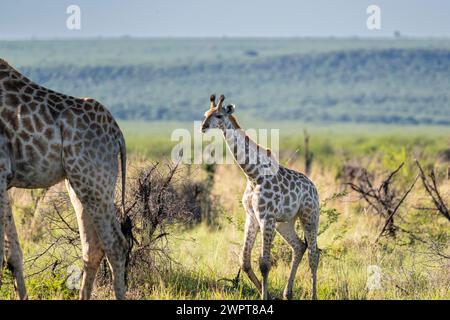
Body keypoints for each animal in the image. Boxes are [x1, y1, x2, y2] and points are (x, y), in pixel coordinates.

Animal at [0, 58, 130, 300]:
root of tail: (118, 135)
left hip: (94, 183)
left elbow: (9, 252)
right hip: (77, 183)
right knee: (92, 246)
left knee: (116, 244)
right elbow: (12, 252)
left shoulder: (1, 172)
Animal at [200, 95, 320, 300]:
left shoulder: (266, 218)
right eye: (205, 114)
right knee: (299, 247)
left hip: (309, 217)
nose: (203, 126)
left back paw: (313, 296)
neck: (253, 175)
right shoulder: (252, 217)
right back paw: (287, 293)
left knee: (314, 254)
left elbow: (264, 263)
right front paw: (268, 294)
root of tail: (314, 188)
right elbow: (245, 261)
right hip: (285, 222)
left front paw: (266, 296)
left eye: (218, 115)